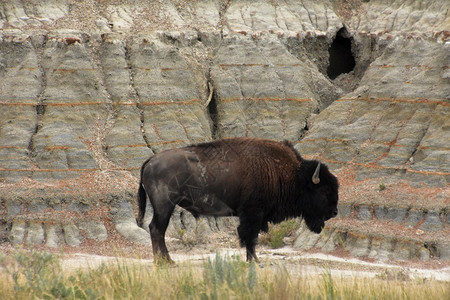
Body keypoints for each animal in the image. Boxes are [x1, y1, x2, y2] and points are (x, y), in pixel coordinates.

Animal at [135, 138, 340, 262]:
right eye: (324, 190)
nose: (334, 212)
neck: (294, 175)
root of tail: (151, 160)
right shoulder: (252, 214)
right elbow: (250, 237)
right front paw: (254, 261)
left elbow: (250, 238)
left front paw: (252, 260)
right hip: (164, 206)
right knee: (157, 230)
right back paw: (166, 262)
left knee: (157, 230)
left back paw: (166, 262)